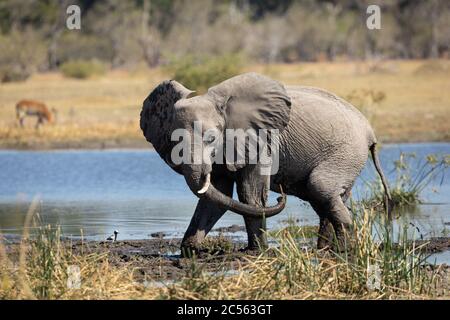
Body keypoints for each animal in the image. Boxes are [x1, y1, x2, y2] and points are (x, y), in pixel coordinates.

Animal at [140, 72, 390, 255]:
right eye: (174, 142)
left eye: (211, 139)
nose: (281, 197)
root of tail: (370, 131)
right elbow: (218, 196)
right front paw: (190, 252)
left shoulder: (261, 140)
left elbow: (249, 194)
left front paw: (256, 252)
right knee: (325, 198)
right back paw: (326, 249)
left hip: (346, 152)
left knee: (320, 188)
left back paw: (346, 249)